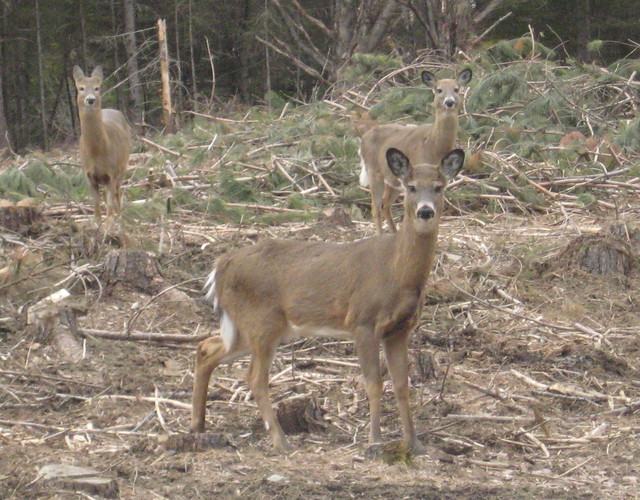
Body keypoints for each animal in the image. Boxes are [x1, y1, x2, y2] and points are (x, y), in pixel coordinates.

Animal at [72, 65, 131, 223]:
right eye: (81, 88)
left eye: (97, 88)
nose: (91, 99)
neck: (97, 152)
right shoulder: (89, 175)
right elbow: (96, 206)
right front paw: (97, 223)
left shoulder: (111, 172)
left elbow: (109, 205)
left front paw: (111, 222)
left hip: (123, 166)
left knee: (117, 192)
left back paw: (120, 214)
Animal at [190, 146, 464, 454]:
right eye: (411, 186)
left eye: (439, 187)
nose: (425, 211)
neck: (397, 271)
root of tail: (221, 265)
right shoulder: (362, 321)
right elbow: (374, 384)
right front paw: (374, 441)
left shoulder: (399, 329)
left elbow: (402, 385)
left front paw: (414, 444)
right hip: (261, 320)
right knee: (254, 378)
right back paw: (281, 441)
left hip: (251, 325)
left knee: (207, 348)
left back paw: (198, 426)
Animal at [360, 67, 470, 235]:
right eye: (439, 89)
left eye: (456, 89)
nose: (449, 102)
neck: (433, 144)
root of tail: (363, 138)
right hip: (374, 172)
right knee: (375, 207)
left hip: (393, 179)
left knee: (385, 204)